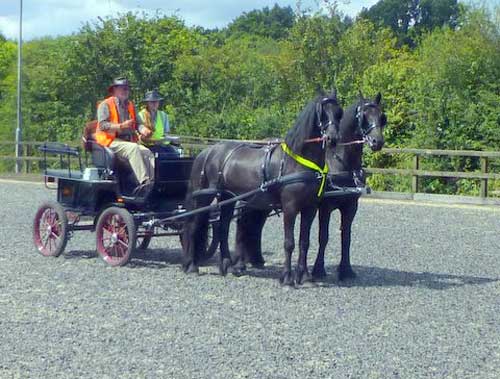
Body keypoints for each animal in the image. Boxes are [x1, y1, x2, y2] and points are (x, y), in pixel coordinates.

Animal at [184, 90, 344, 284]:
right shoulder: (290, 207)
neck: (297, 162)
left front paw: (305, 276)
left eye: (339, 113)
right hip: (204, 197)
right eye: (321, 113)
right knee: (194, 225)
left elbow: (304, 242)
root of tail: (207, 151)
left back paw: (227, 266)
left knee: (223, 228)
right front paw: (287, 277)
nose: (333, 139)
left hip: (227, 197)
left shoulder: (311, 208)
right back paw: (192, 266)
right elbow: (289, 243)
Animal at [237, 92, 386, 282]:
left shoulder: (351, 206)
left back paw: (255, 260)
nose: (377, 141)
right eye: (364, 115)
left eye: (381, 117)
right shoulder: (325, 207)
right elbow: (323, 237)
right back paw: (241, 263)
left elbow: (346, 237)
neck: (342, 164)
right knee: (243, 224)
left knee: (253, 225)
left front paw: (346, 270)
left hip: (261, 203)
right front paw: (318, 270)